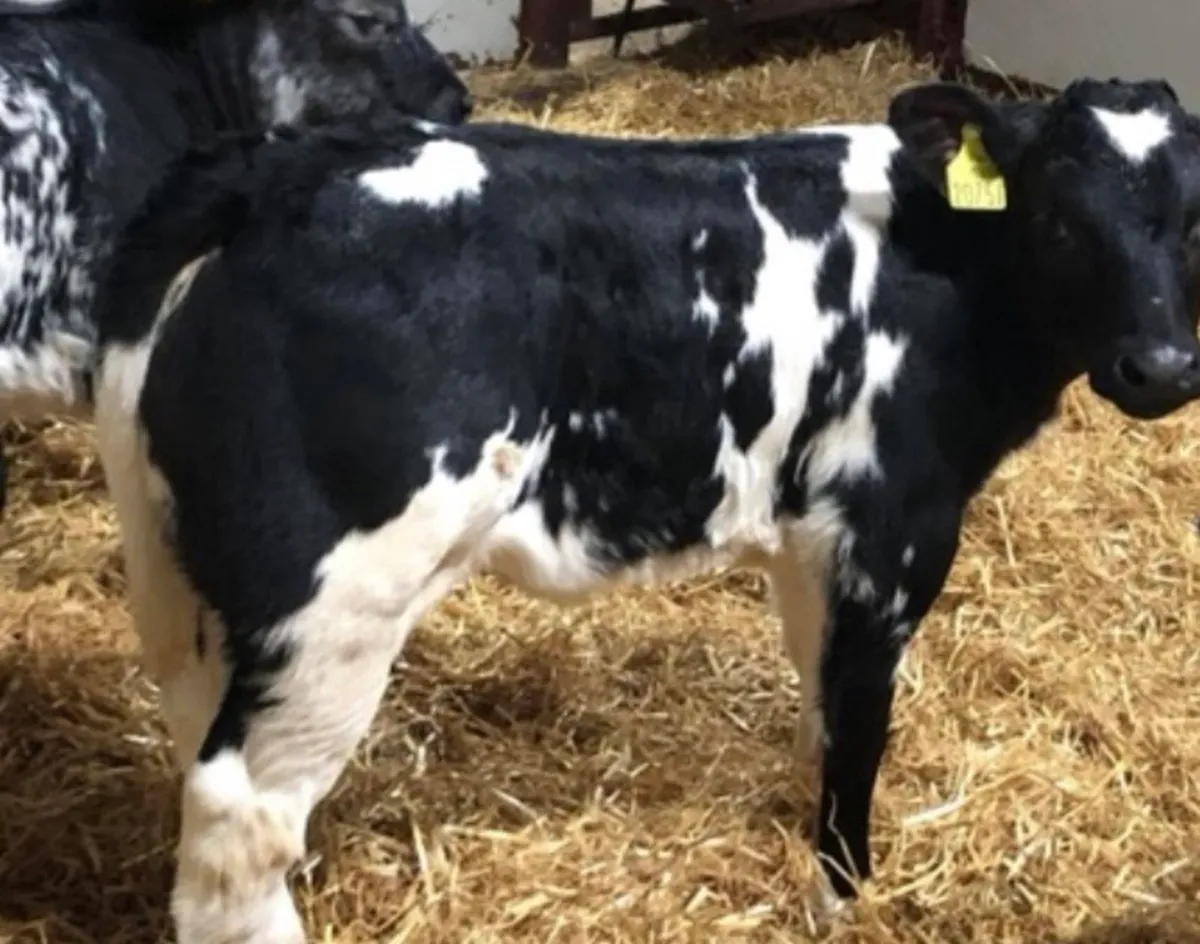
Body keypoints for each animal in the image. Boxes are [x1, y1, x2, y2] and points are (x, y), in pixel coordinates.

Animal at [90, 76, 1200, 941]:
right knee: (241, 807)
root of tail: (282, 169)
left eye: (1197, 220)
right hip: (340, 592)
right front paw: (841, 893)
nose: (1163, 367)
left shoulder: (813, 532)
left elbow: (818, 697)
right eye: (1058, 218)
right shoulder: (895, 525)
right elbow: (861, 720)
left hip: (190, 573)